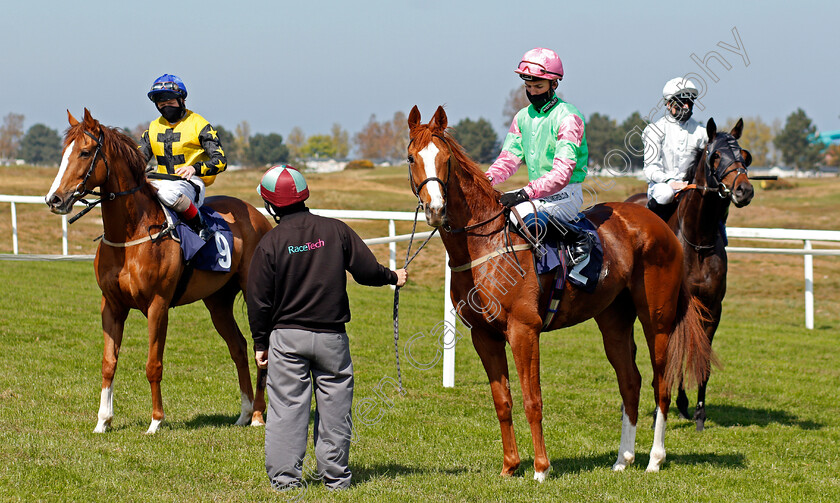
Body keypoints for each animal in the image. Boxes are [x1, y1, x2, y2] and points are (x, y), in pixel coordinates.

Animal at [45, 109, 272, 434]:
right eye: (64, 152)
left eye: (85, 152)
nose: (54, 199)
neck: (131, 235)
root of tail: (257, 215)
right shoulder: (111, 305)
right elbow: (108, 362)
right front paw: (103, 421)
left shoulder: (157, 305)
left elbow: (153, 364)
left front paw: (155, 421)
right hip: (217, 301)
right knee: (238, 348)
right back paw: (244, 413)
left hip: (254, 296)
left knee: (260, 351)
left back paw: (257, 415)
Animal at [410, 107, 712, 480]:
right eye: (411, 158)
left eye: (446, 159)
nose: (435, 209)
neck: (486, 243)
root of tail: (659, 225)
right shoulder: (484, 335)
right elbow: (502, 401)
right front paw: (510, 466)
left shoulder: (524, 330)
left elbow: (532, 400)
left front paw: (541, 468)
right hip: (613, 321)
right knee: (630, 381)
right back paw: (623, 458)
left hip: (657, 320)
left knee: (661, 383)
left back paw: (655, 459)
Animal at [624, 117, 756, 430]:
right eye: (715, 155)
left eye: (745, 155)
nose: (744, 190)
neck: (697, 240)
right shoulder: (671, 307)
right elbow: (671, 354)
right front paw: (665, 407)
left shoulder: (711, 307)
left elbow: (700, 356)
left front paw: (696, 411)